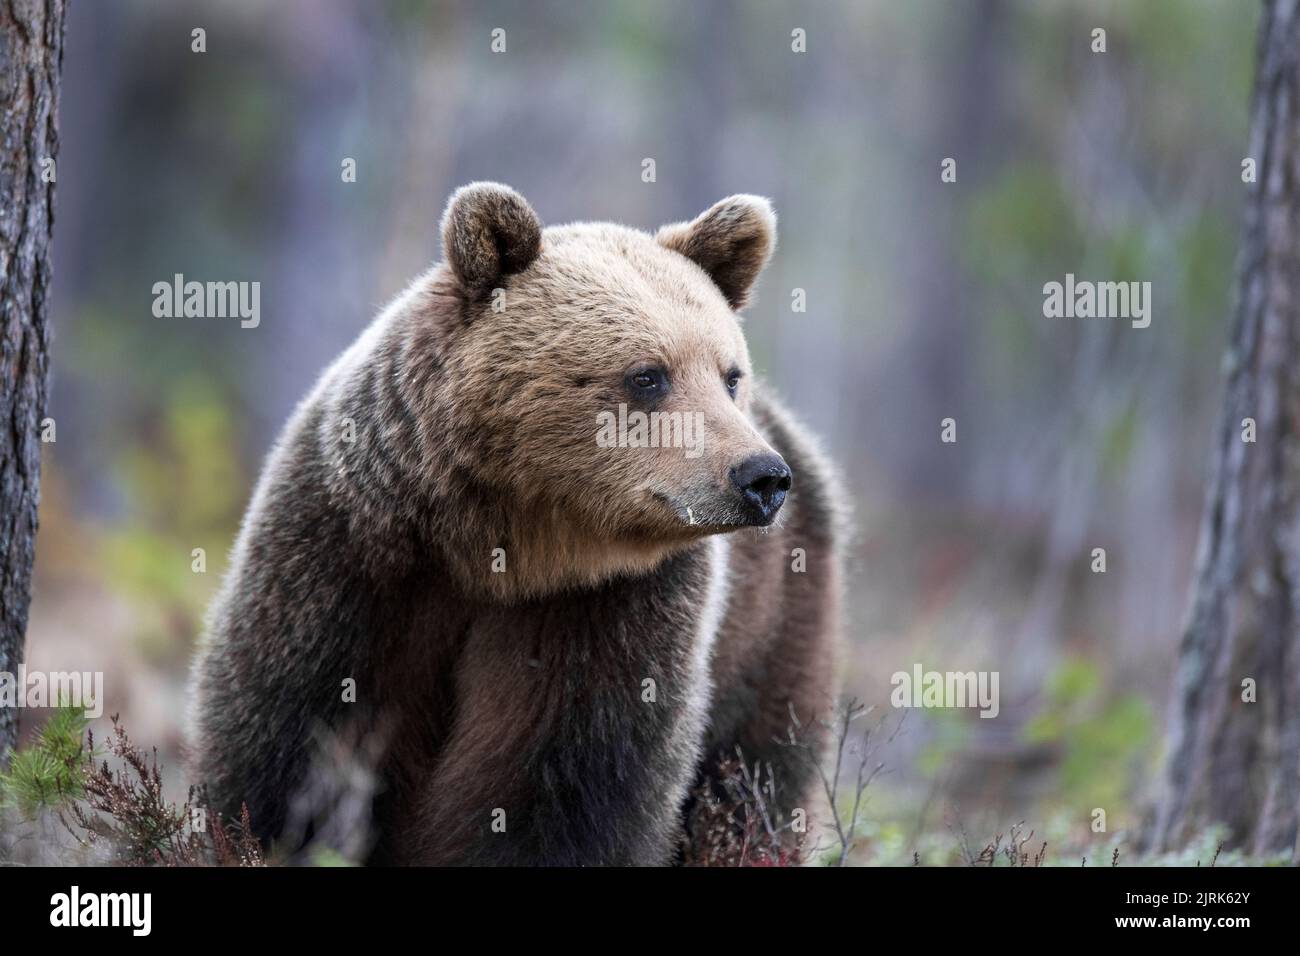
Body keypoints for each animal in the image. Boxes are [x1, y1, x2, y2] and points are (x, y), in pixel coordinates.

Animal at [188, 183, 847, 863]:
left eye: (729, 375)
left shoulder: (609, 608)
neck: (500, 549)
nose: (761, 477)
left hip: (774, 621)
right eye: (648, 375)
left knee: (758, 770)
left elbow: (566, 783)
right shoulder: (347, 558)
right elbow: (284, 738)